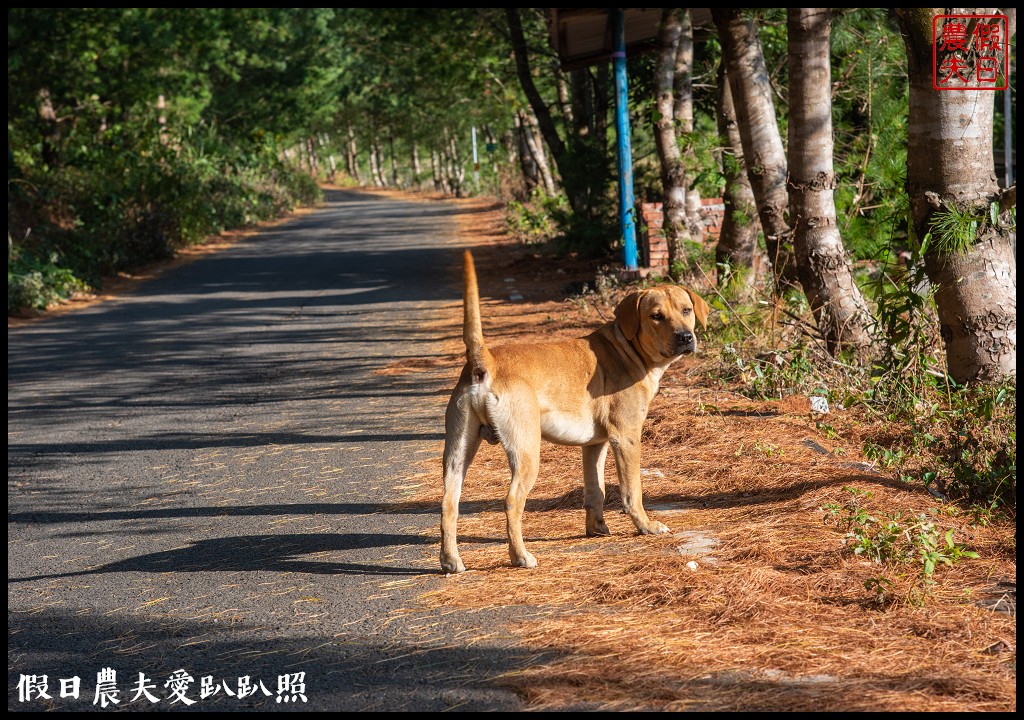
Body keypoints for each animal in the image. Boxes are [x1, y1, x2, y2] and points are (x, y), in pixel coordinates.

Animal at [440, 250, 712, 573]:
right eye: (656, 316)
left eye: (686, 310)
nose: (685, 337)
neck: (628, 348)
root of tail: (485, 362)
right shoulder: (626, 438)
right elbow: (632, 491)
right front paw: (646, 526)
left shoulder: (594, 445)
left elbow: (596, 491)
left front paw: (597, 528)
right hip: (526, 450)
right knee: (511, 501)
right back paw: (521, 556)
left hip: (458, 453)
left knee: (448, 503)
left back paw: (451, 561)